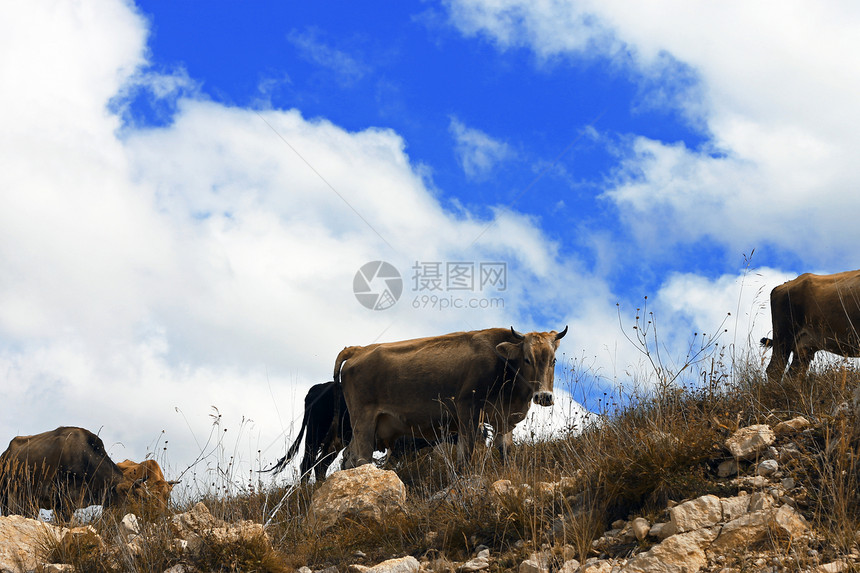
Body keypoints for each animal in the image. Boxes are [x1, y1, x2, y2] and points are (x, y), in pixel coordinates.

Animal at [334, 326, 564, 470]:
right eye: (527, 359)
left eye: (553, 360)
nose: (544, 396)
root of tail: (359, 349)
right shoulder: (467, 412)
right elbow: (466, 456)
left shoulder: (502, 419)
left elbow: (506, 453)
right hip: (363, 421)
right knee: (361, 459)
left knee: (348, 459)